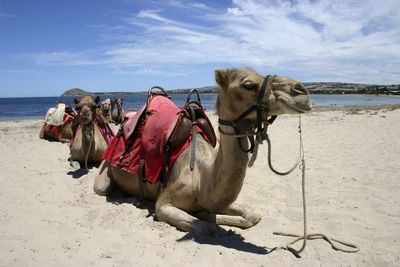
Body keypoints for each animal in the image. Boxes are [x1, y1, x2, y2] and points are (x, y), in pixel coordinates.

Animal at [94, 69, 312, 237]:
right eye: (248, 84)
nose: (301, 91)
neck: (200, 178)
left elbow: (254, 214)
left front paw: (206, 213)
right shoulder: (163, 203)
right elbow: (208, 228)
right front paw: (206, 217)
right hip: (105, 171)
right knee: (102, 188)